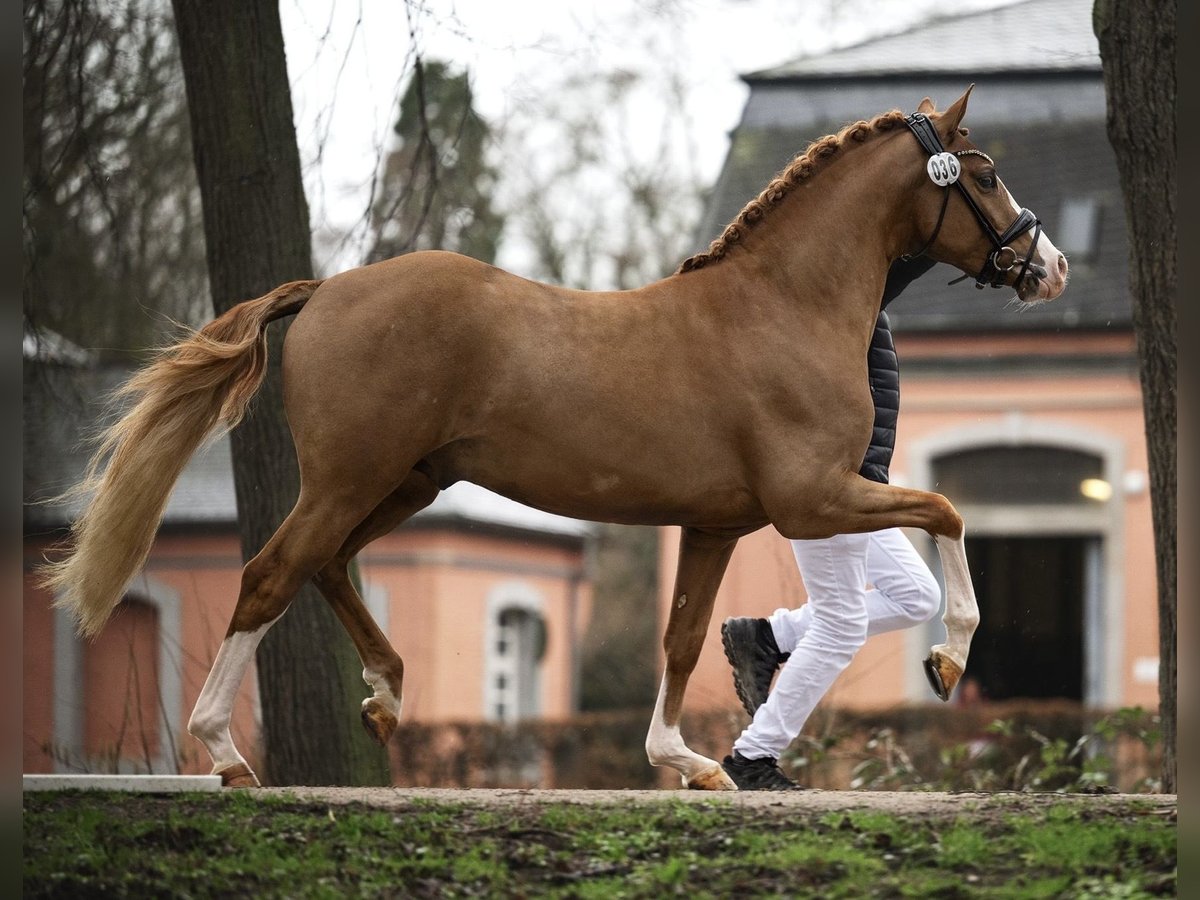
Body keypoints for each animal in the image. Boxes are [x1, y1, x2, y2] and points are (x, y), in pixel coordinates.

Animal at [39, 84, 1070, 787]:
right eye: (982, 174)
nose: (1050, 265)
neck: (782, 307)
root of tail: (326, 288)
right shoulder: (812, 501)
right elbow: (946, 509)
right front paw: (947, 656)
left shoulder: (717, 524)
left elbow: (682, 639)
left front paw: (686, 760)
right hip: (349, 479)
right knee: (268, 575)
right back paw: (225, 753)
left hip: (405, 484)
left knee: (324, 566)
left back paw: (385, 694)